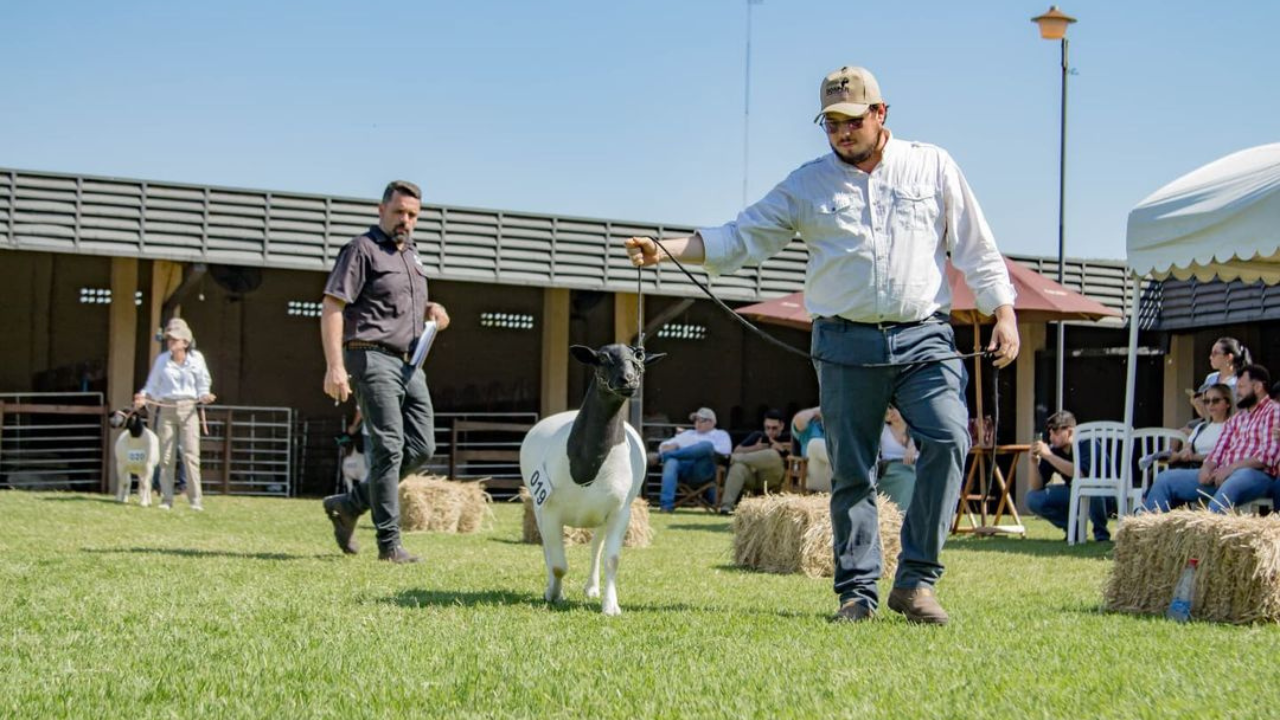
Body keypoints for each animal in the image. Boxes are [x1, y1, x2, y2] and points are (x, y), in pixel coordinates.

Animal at [517, 340, 665, 609]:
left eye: (638, 359)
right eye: (603, 358)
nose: (628, 380)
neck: (587, 463)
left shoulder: (619, 511)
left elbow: (612, 559)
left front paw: (610, 606)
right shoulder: (550, 509)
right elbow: (557, 564)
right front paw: (554, 593)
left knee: (596, 547)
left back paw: (592, 588)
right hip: (538, 507)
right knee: (548, 550)